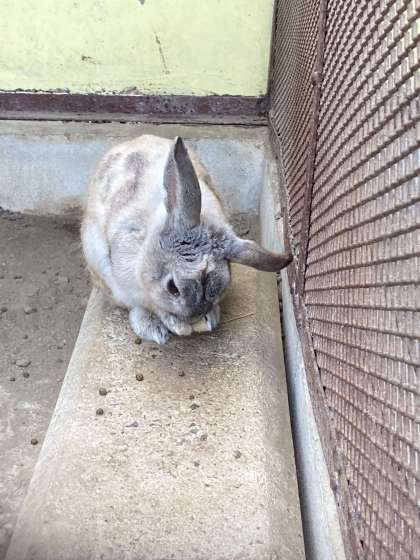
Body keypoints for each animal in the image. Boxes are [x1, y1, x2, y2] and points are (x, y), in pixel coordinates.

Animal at [81, 134, 292, 344]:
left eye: (218, 291)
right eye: (172, 287)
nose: (193, 318)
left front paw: (208, 320)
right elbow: (153, 305)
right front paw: (177, 326)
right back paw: (152, 328)